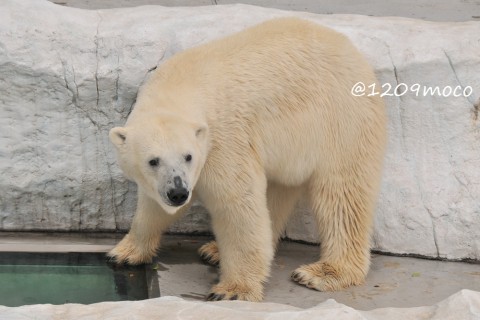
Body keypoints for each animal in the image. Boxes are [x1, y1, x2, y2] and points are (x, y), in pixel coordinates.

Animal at [109, 18, 386, 302]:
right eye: (153, 161)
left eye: (188, 156)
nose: (178, 193)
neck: (181, 84)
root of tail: (354, 53)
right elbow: (152, 206)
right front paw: (124, 253)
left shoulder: (223, 140)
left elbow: (237, 205)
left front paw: (232, 290)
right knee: (276, 192)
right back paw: (213, 250)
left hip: (341, 120)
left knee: (341, 195)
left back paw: (322, 272)